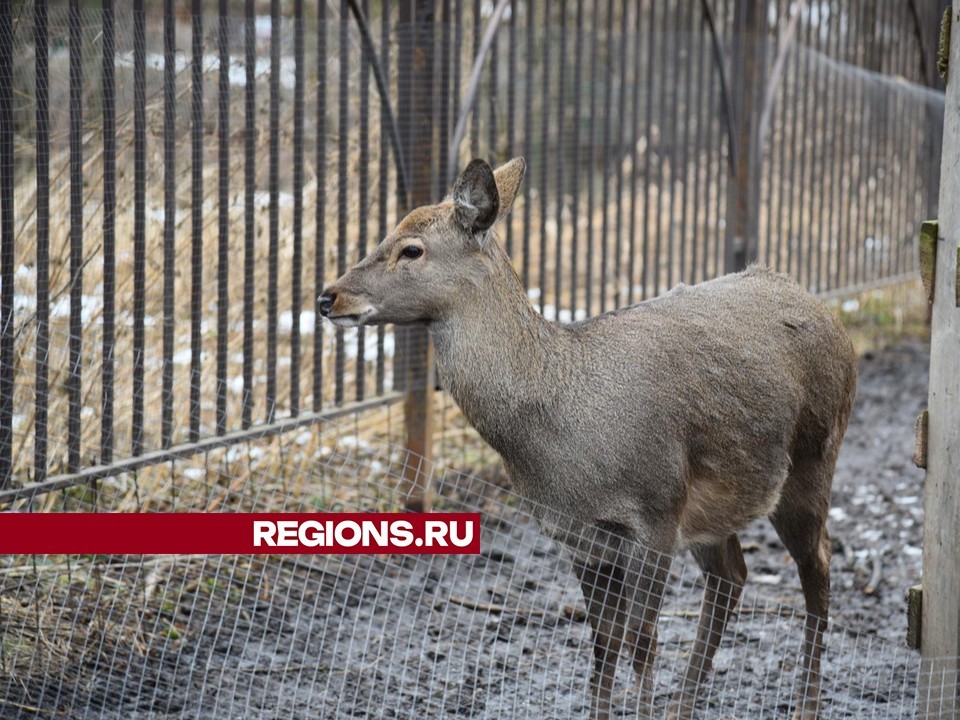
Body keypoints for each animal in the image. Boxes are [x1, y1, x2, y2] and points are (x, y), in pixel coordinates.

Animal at [318, 155, 860, 716]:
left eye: (411, 248)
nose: (327, 297)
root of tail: (824, 312)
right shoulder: (580, 535)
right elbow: (604, 645)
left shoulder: (655, 513)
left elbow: (642, 641)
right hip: (717, 507)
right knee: (731, 575)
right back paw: (685, 703)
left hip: (814, 459)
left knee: (818, 564)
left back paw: (806, 703)